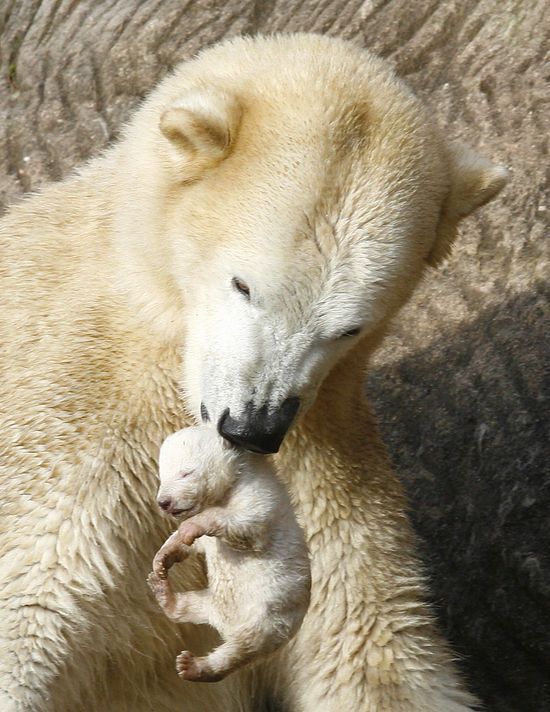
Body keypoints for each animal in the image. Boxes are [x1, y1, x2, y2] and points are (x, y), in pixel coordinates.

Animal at [146, 426, 310, 680]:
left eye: (186, 473)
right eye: (162, 475)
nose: (163, 501)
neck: (238, 476)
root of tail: (226, 627)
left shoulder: (259, 495)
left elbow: (245, 525)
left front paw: (190, 527)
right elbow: (192, 546)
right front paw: (162, 559)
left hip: (270, 618)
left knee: (242, 648)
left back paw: (194, 666)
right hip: (212, 601)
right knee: (192, 606)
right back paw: (162, 591)